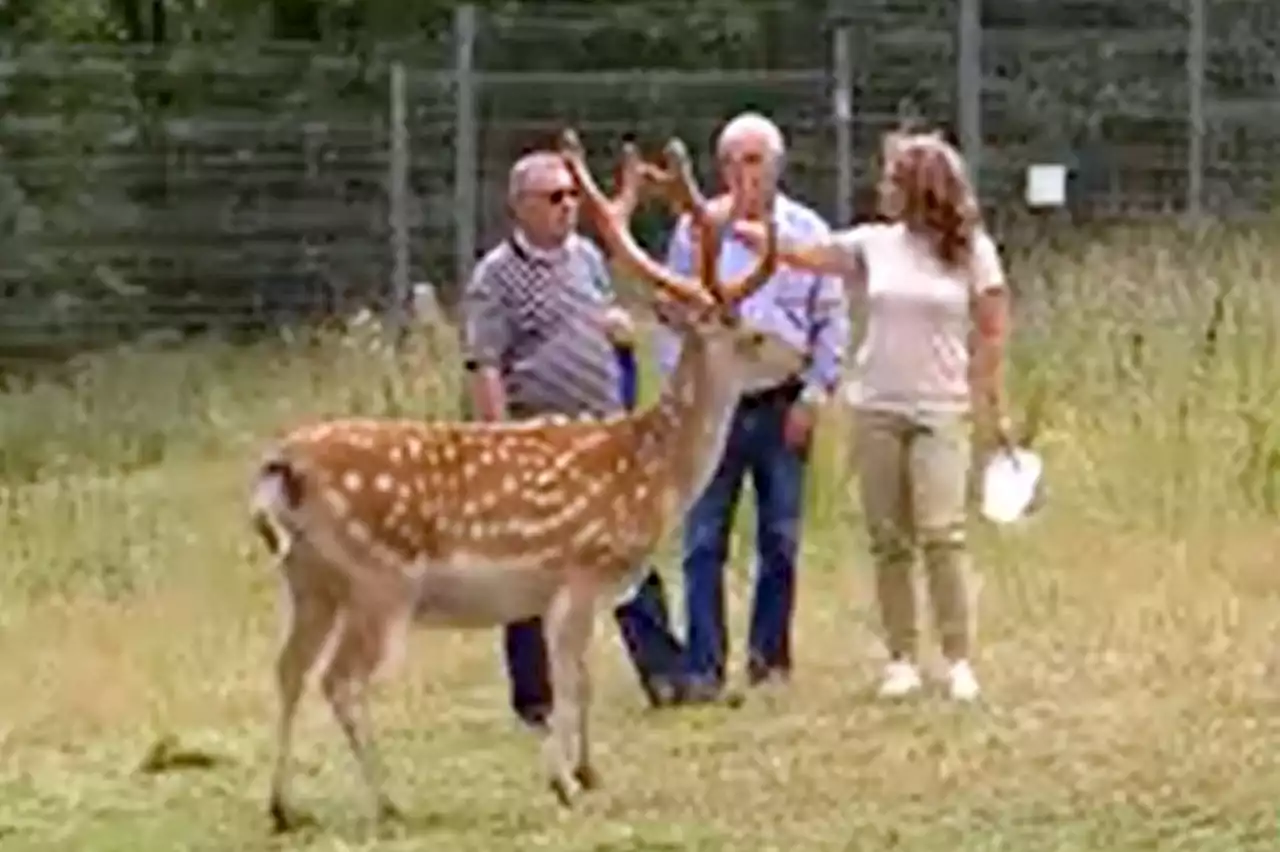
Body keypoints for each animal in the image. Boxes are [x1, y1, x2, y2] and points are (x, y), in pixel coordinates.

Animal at [249, 126, 803, 828]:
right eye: (753, 334)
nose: (804, 358)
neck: (647, 473)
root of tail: (282, 465)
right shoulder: (579, 569)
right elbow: (568, 678)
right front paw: (563, 781)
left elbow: (583, 676)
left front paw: (588, 773)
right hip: (378, 577)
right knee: (340, 681)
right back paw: (391, 800)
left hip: (309, 581)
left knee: (288, 669)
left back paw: (283, 807)